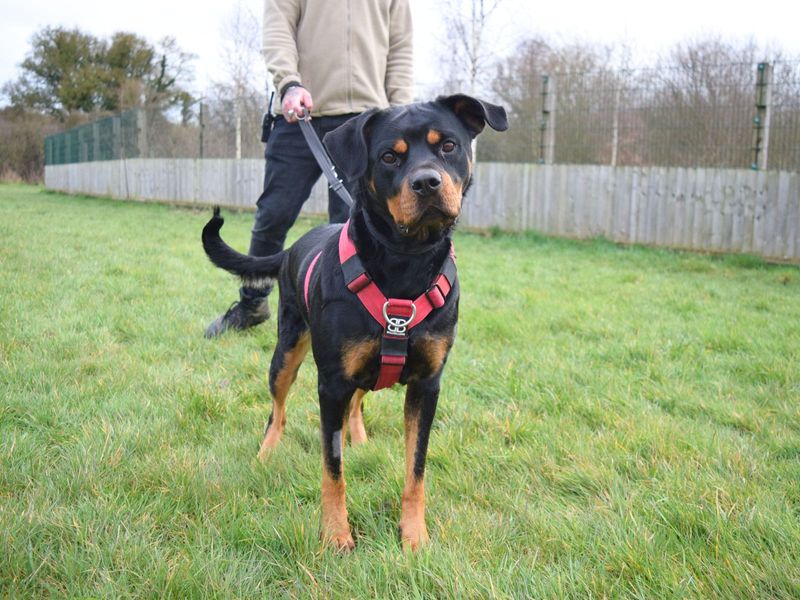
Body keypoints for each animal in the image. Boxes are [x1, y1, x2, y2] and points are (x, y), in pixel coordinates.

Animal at [200, 92, 506, 548]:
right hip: (287, 351)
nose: (427, 183)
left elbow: (416, 469)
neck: (405, 262)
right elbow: (333, 469)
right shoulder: (331, 383)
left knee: (359, 400)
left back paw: (358, 437)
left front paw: (414, 537)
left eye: (449, 146)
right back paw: (266, 454)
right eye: (389, 157)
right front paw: (335, 535)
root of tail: (294, 246)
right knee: (278, 409)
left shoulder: (427, 384)